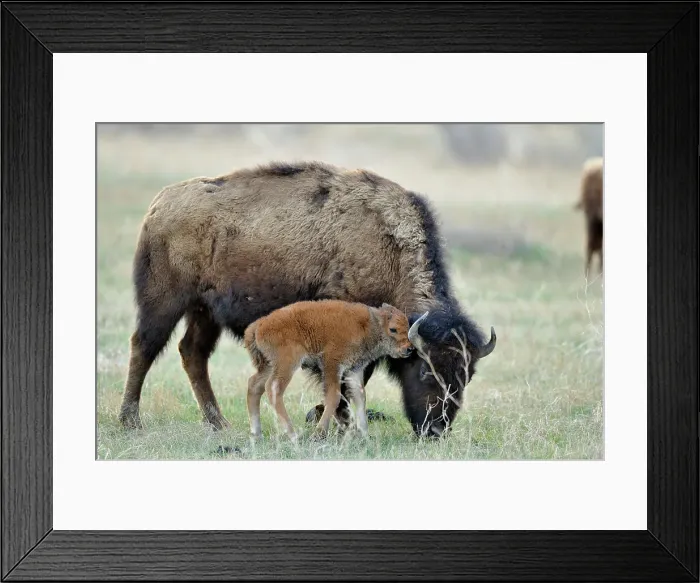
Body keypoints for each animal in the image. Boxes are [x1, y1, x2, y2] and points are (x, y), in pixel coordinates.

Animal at [243, 299, 420, 440]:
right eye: (393, 329)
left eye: (407, 326)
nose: (409, 349)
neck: (369, 325)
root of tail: (259, 324)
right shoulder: (332, 364)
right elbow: (334, 396)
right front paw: (319, 433)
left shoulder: (354, 369)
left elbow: (360, 397)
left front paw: (364, 434)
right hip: (286, 365)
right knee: (274, 389)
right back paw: (293, 435)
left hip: (268, 365)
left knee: (254, 386)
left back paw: (257, 434)